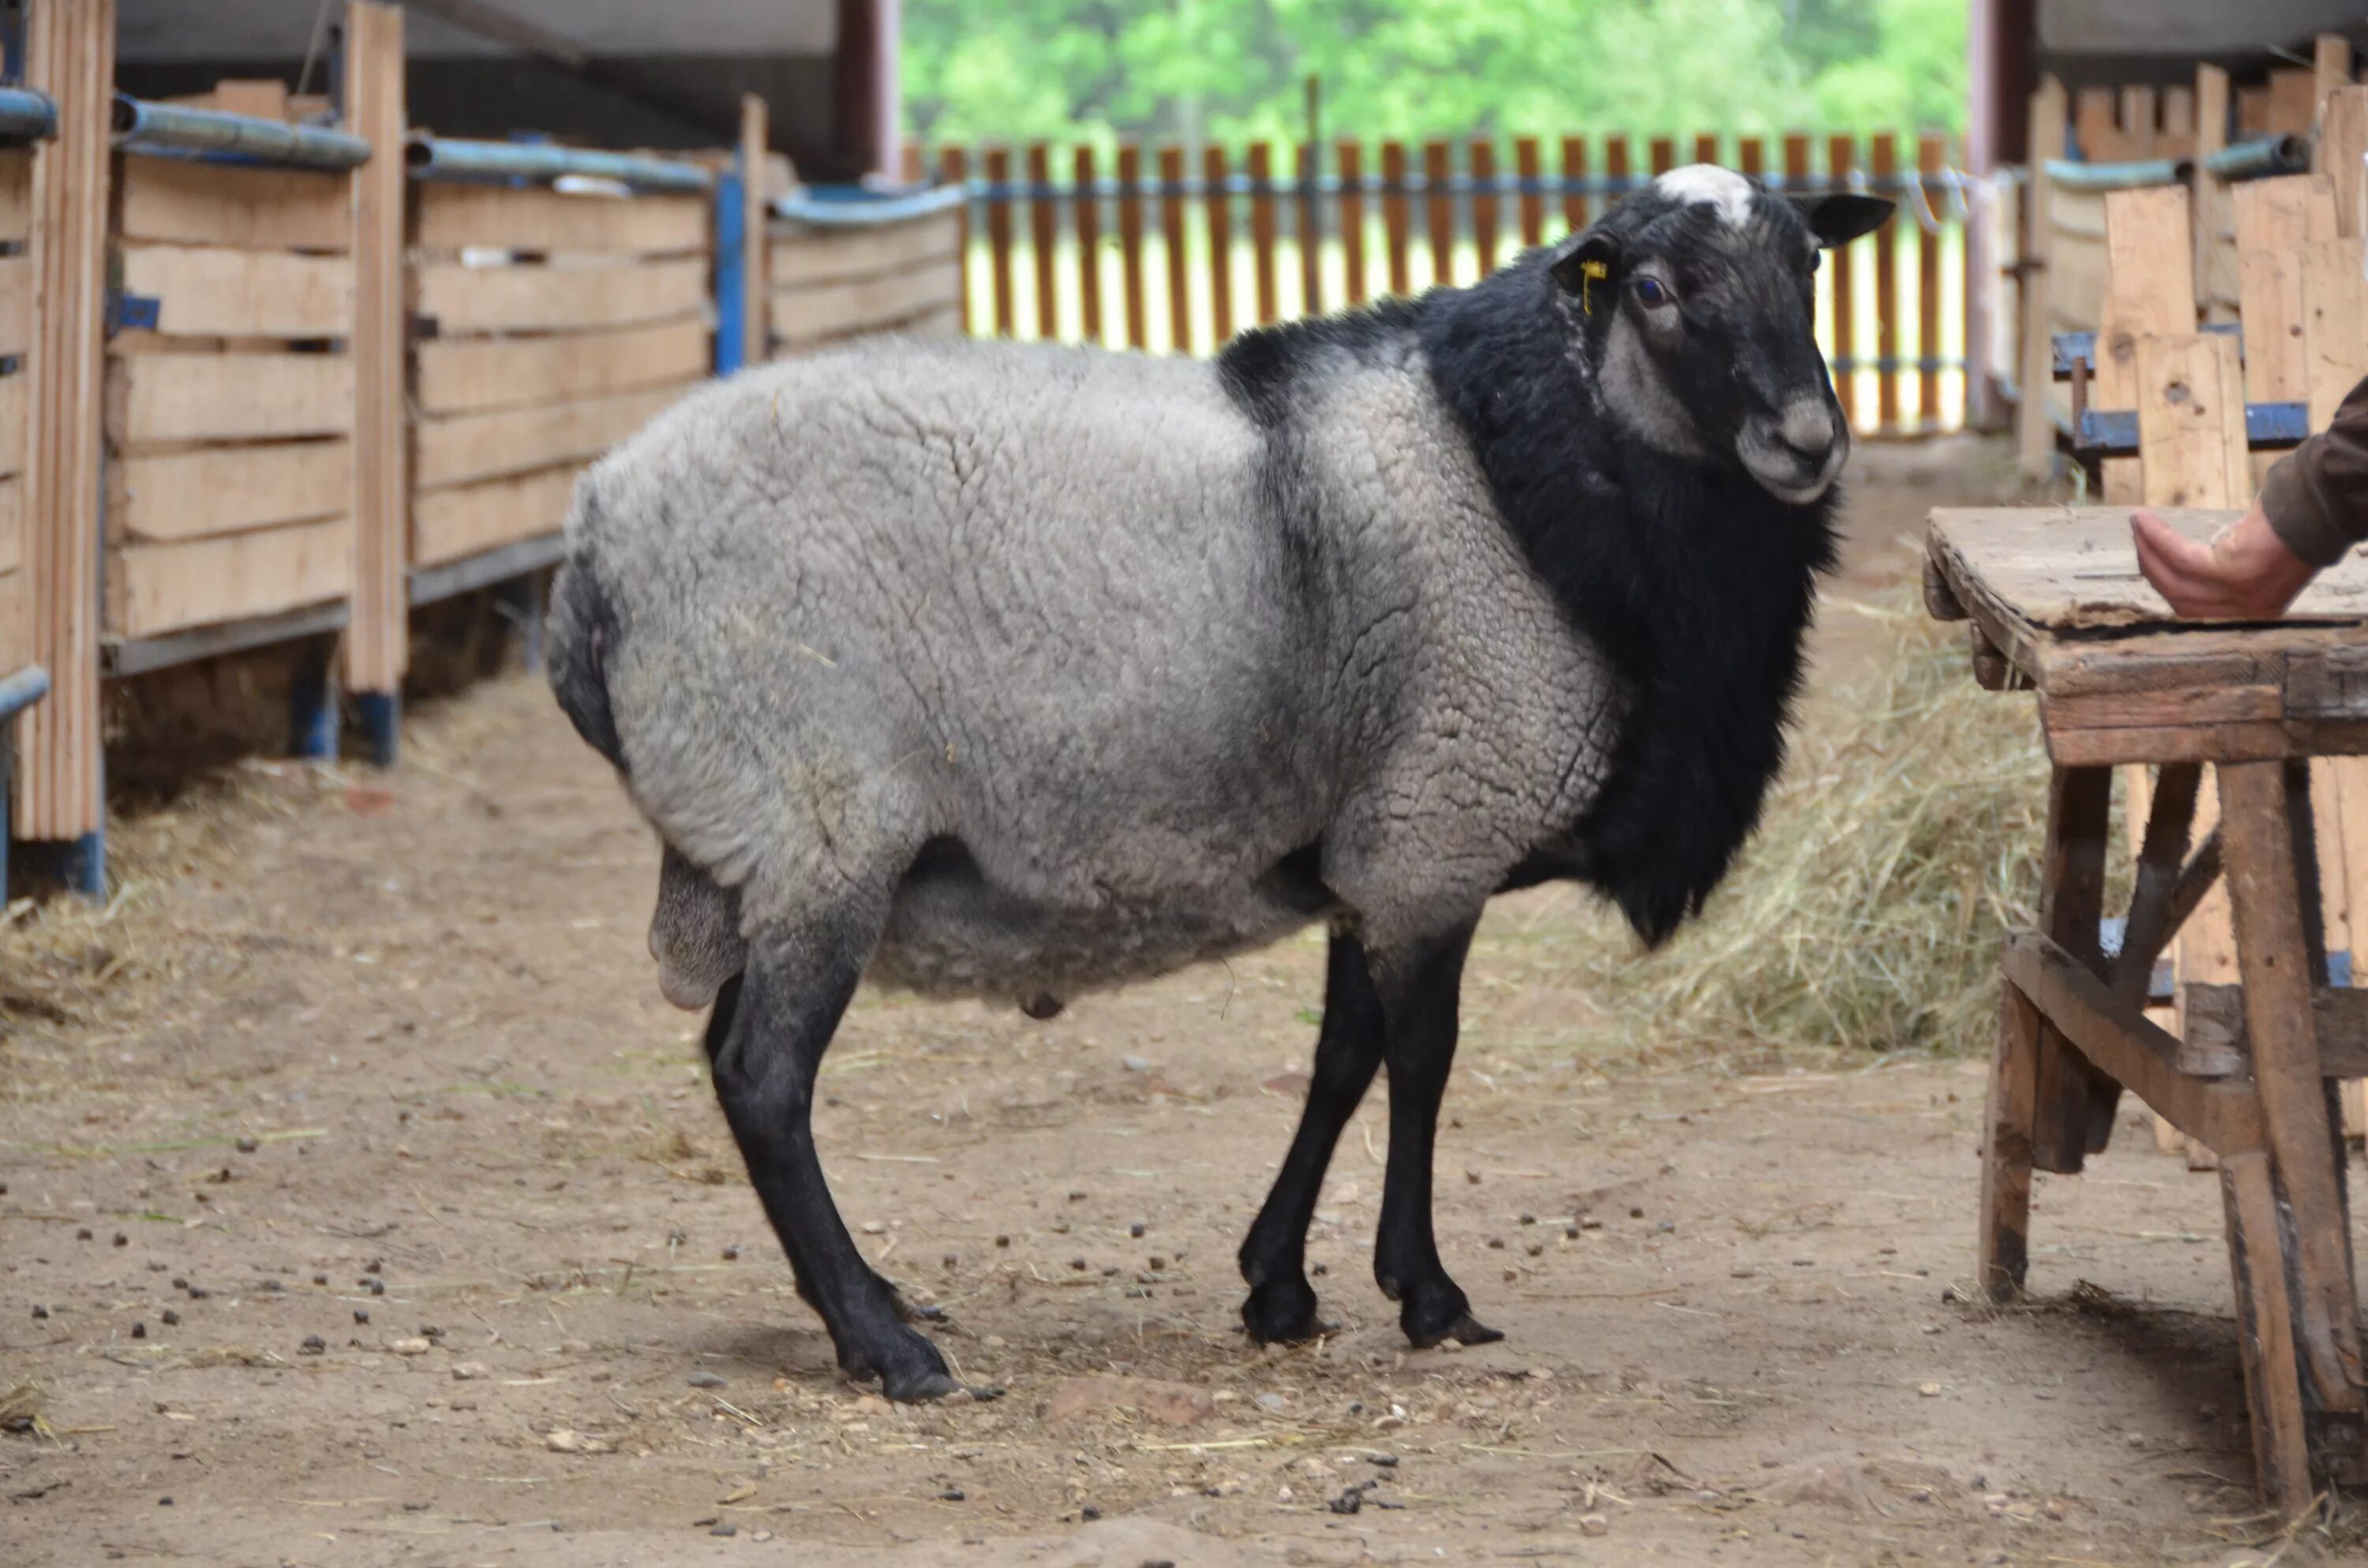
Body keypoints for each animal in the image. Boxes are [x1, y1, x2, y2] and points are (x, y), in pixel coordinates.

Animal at [545, 166, 1894, 1401]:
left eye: (1812, 264)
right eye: (1655, 290)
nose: (1807, 440)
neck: (1517, 472)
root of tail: (592, 538)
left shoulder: (1373, 838)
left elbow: (1344, 1053)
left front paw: (1279, 1285)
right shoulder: (1437, 825)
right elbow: (1424, 1057)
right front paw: (1427, 1292)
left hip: (764, 853)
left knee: (734, 1061)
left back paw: (872, 1301)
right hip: (818, 828)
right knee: (765, 1079)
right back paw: (890, 1348)